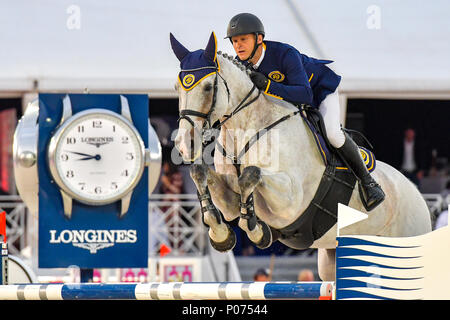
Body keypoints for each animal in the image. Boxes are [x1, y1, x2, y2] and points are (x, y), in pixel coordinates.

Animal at [170, 31, 432, 280]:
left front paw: (256, 230)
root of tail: (417, 193)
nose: (184, 144)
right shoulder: (230, 199)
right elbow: (201, 174)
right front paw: (221, 234)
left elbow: (250, 174)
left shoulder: (290, 200)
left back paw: (374, 192)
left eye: (207, 87)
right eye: (177, 88)